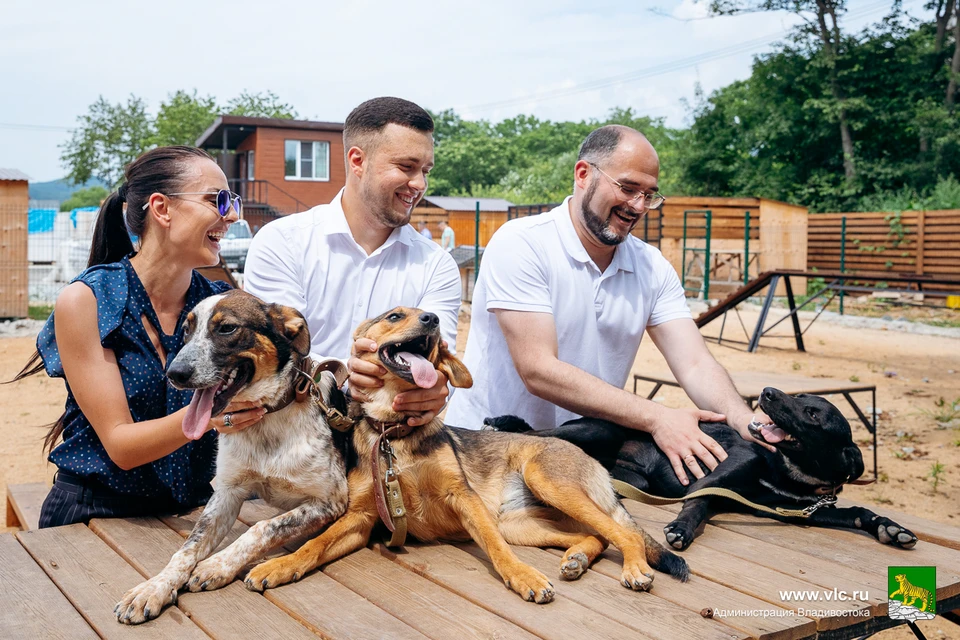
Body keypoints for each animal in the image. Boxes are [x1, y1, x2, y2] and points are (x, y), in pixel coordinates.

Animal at [115, 290, 350, 624]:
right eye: (186, 331)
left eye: (226, 328)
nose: (174, 374)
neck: (267, 419)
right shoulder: (227, 492)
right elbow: (186, 549)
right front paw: (153, 587)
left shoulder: (331, 500)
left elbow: (262, 527)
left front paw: (217, 565)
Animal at [240, 308, 688, 604]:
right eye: (394, 315)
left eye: (428, 319)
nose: (432, 319)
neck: (395, 433)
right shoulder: (362, 518)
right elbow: (314, 545)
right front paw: (277, 566)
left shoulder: (465, 499)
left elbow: (494, 549)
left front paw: (523, 576)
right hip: (524, 524)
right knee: (594, 535)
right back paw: (577, 558)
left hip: (546, 481)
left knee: (625, 534)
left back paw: (634, 569)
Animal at [492, 388, 920, 552]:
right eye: (799, 398)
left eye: (813, 413)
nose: (767, 392)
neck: (788, 474)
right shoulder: (728, 469)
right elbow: (697, 502)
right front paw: (680, 528)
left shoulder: (800, 509)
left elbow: (857, 511)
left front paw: (890, 527)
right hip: (596, 429)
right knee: (532, 434)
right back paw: (504, 423)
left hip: (630, 476)